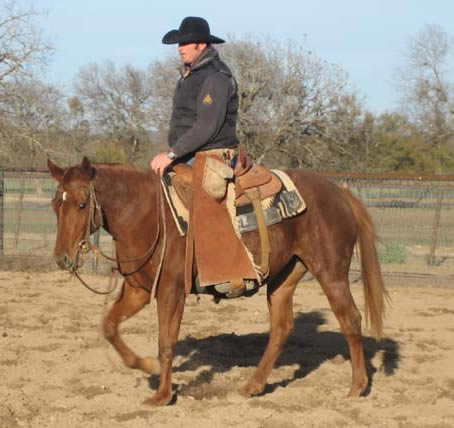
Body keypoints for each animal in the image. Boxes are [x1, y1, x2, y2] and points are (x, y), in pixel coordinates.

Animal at [50, 156, 390, 404]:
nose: (63, 258)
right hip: (285, 276)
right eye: (56, 205)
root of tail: (340, 193)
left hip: (331, 271)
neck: (145, 214)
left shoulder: (171, 290)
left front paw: (162, 395)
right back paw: (253, 386)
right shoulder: (138, 290)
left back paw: (357, 387)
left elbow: (166, 342)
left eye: (82, 204)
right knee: (282, 328)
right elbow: (109, 326)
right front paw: (146, 366)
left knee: (350, 319)